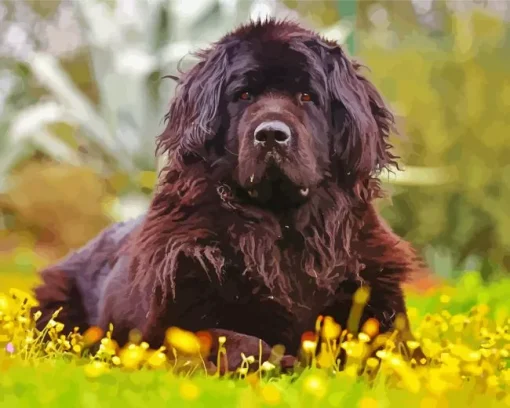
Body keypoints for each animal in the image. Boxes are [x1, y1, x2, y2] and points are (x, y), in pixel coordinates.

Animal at [32, 18, 426, 370]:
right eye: (244, 95)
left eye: (307, 96)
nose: (271, 134)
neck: (283, 230)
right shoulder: (170, 319)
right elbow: (230, 339)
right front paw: (279, 362)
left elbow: (392, 348)